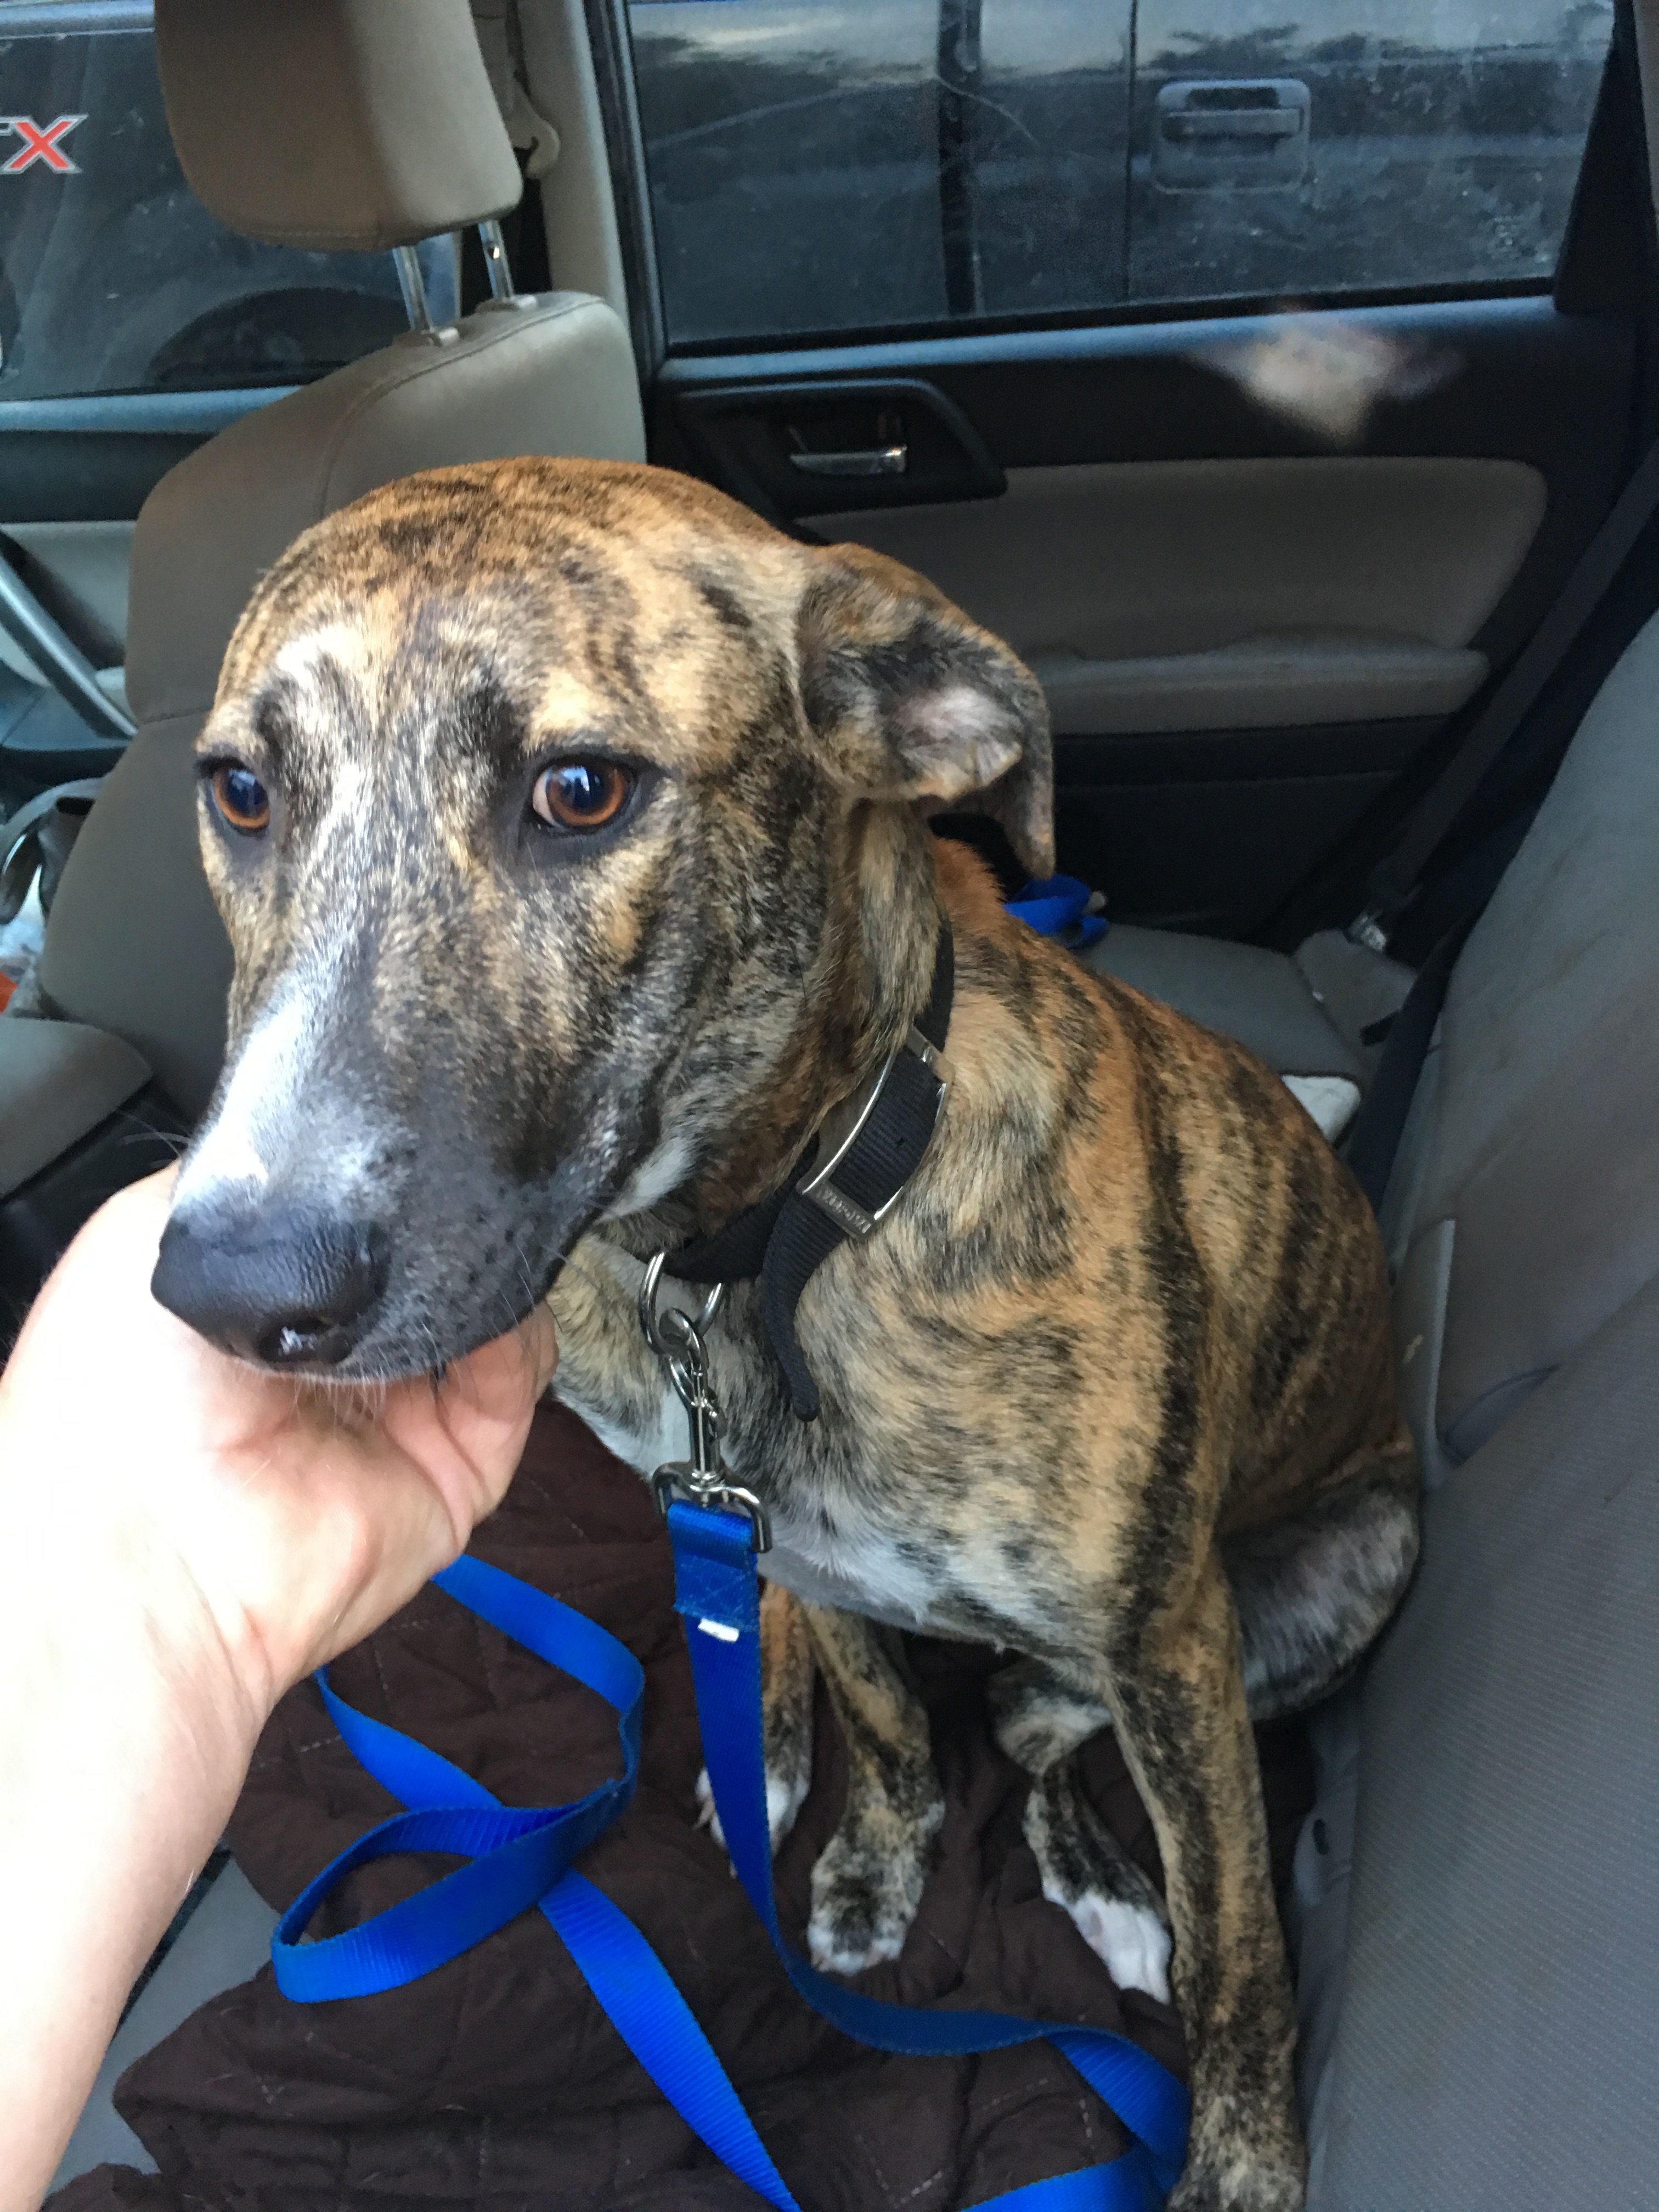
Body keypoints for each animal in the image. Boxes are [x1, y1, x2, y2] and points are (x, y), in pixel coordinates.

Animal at [159, 453, 1415, 2212]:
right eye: (243, 793)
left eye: (582, 791)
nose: (230, 1291)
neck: (758, 1251)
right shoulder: (794, 1541)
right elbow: (886, 1720)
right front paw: (873, 1864)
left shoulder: (1170, 1633)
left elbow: (1240, 1945)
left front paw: (1239, 2172)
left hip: (1340, 1575)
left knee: (1046, 1728)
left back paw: (1100, 1876)